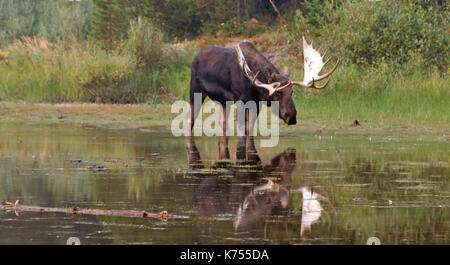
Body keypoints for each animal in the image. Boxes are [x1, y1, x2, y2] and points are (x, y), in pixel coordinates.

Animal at [188, 36, 340, 135]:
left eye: (292, 92)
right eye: (277, 93)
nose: (292, 116)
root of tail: (195, 57)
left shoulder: (257, 104)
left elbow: (250, 129)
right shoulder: (242, 101)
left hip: (223, 102)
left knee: (222, 122)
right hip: (195, 91)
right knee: (190, 119)